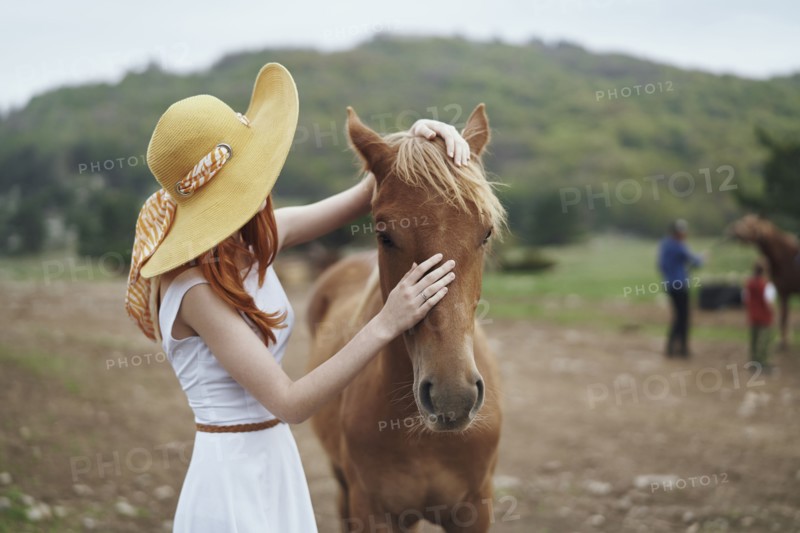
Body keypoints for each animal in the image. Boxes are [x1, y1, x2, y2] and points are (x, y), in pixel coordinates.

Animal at [729, 214, 800, 348]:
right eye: (744, 220)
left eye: (751, 225)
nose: (734, 229)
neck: (785, 257)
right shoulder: (783, 292)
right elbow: (783, 317)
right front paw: (783, 341)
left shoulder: (784, 291)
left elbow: (783, 317)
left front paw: (784, 343)